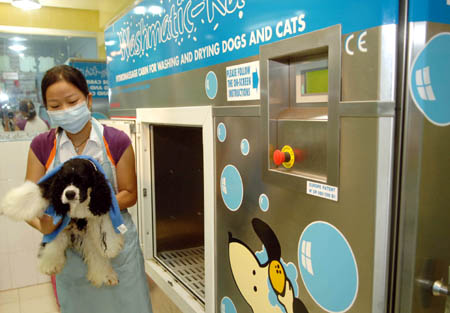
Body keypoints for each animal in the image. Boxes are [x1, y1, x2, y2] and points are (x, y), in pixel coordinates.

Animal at [0, 157, 124, 286]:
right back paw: (50, 265)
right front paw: (9, 204)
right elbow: (35, 192)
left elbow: (104, 225)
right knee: (54, 243)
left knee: (96, 253)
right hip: (60, 231)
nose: (69, 194)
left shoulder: (100, 203)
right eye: (64, 181)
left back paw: (106, 275)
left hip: (88, 237)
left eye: (82, 180)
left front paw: (111, 247)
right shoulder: (51, 185)